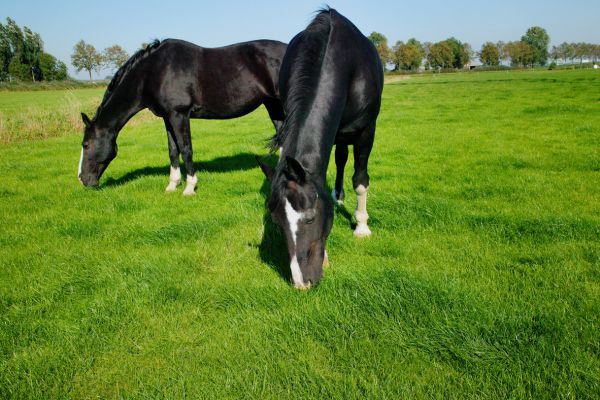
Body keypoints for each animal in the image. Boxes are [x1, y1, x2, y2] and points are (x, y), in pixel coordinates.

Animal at [79, 38, 286, 195]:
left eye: (86, 144)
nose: (82, 179)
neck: (154, 72)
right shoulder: (167, 117)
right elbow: (173, 150)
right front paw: (172, 185)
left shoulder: (179, 115)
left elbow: (186, 149)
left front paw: (189, 187)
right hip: (273, 105)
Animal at [255, 7, 382, 290]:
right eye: (277, 222)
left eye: (310, 218)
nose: (303, 283)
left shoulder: (366, 131)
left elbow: (360, 179)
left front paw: (362, 227)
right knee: (340, 157)